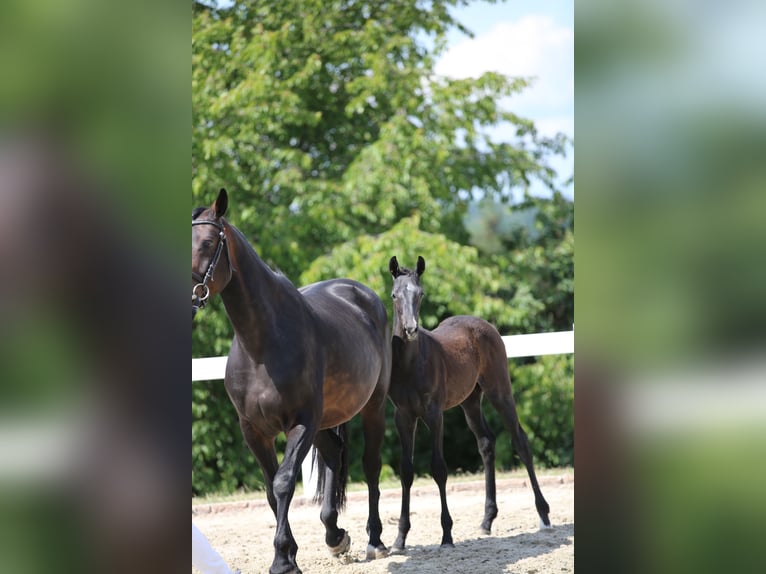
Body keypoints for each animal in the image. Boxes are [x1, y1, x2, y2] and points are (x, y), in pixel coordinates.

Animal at [195, 191, 392, 572]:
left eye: (208, 242)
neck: (262, 345)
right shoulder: (253, 431)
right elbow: (271, 490)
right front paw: (288, 554)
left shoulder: (300, 422)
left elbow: (284, 483)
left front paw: (283, 559)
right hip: (324, 420)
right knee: (333, 455)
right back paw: (335, 536)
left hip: (371, 406)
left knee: (370, 465)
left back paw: (375, 540)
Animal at [390, 258, 552, 552]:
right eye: (395, 295)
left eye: (421, 294)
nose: (410, 329)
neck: (411, 364)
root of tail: (483, 322)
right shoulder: (403, 416)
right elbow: (406, 471)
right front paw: (399, 539)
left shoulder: (434, 414)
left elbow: (439, 468)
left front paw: (446, 535)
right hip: (471, 401)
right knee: (486, 442)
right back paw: (487, 520)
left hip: (499, 391)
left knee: (520, 441)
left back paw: (544, 515)